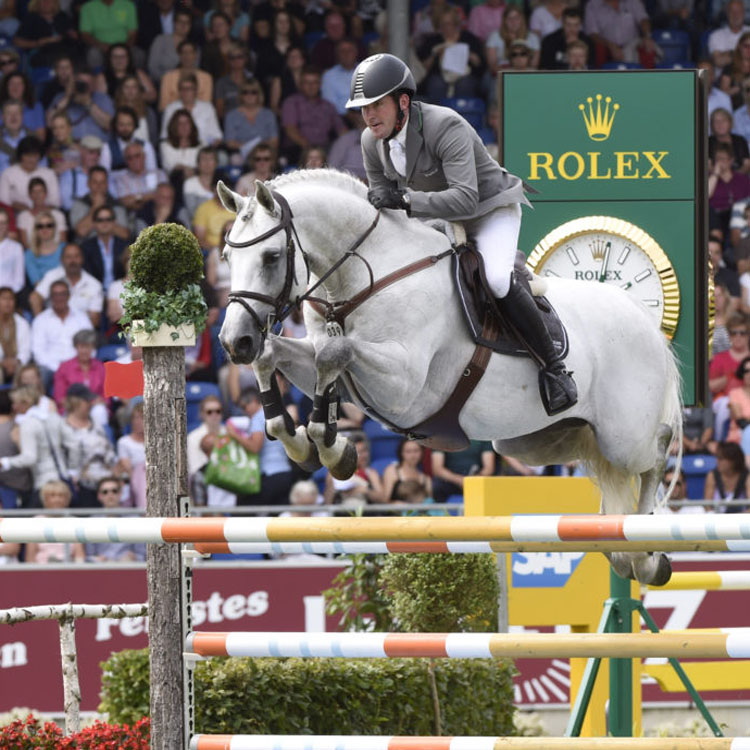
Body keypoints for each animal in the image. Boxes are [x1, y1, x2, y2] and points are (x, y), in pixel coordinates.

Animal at [216, 170, 680, 588]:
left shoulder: (404, 386)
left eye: (271, 257)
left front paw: (329, 447)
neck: (366, 278)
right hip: (533, 442)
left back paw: (647, 557)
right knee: (600, 465)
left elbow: (336, 352)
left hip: (623, 438)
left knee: (655, 452)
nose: (234, 341)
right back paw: (620, 549)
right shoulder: (332, 368)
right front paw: (311, 443)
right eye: (226, 258)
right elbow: (283, 356)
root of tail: (646, 322)